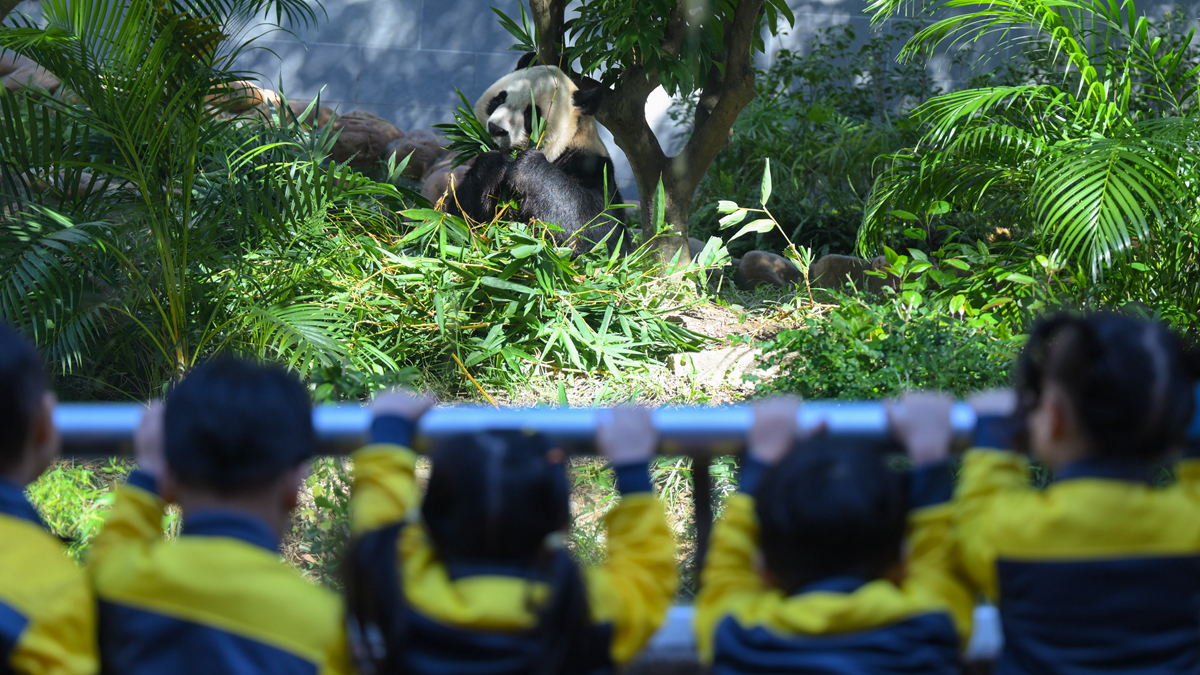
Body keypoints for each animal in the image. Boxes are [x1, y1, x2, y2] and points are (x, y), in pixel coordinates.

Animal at [439, 61, 628, 254]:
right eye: (499, 99)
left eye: (531, 114)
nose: (495, 129)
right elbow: (458, 219)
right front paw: (495, 164)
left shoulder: (593, 166)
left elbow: (597, 229)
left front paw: (528, 167)